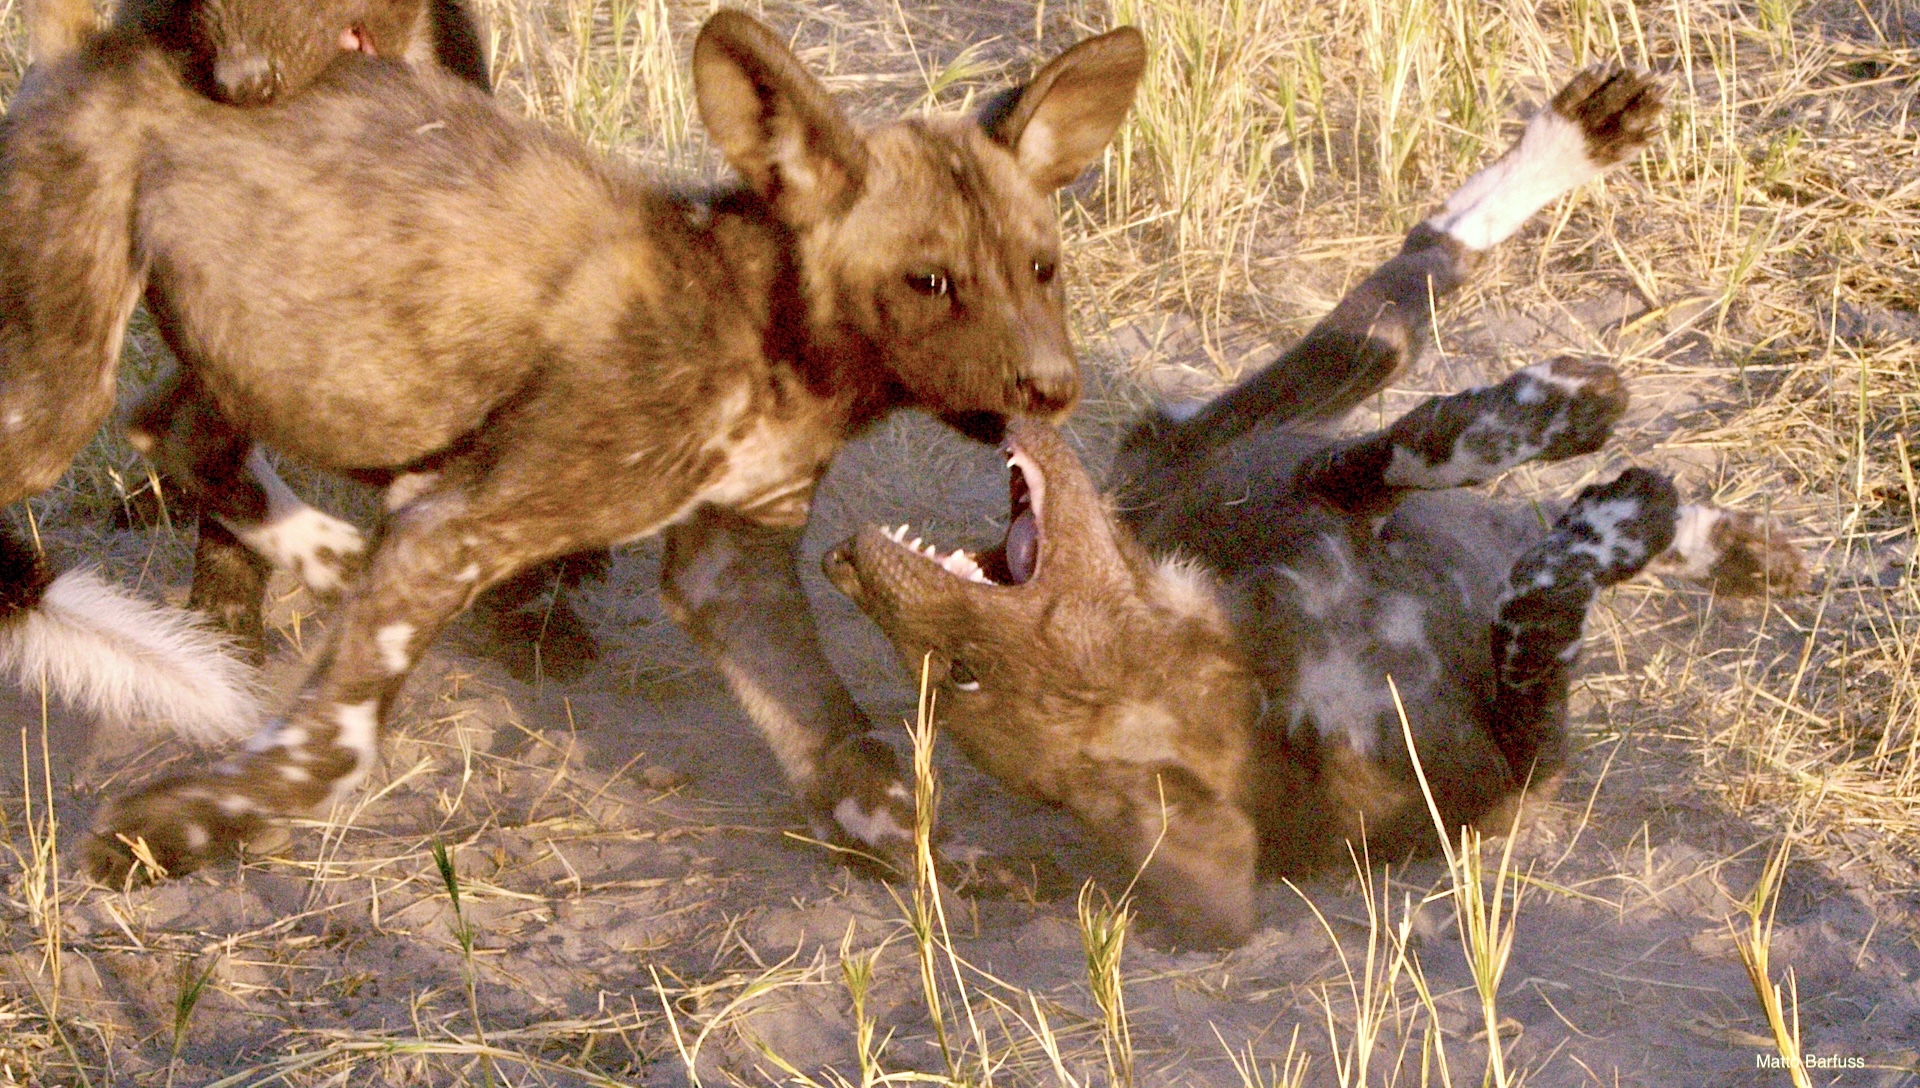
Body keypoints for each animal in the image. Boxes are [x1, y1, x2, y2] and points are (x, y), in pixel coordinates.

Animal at [0, 11, 1146, 880]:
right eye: (930, 281)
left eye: (1041, 269)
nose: (1052, 387)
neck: (768, 332)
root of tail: (110, 43)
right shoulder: (458, 530)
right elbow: (333, 747)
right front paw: (179, 830)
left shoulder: (734, 564)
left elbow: (844, 743)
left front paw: (939, 863)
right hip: (54, 399)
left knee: (173, 426)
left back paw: (323, 549)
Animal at [826, 67, 1809, 947]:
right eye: (961, 674)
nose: (844, 564)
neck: (1256, 671)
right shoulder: (1521, 767)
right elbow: (1535, 602)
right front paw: (1617, 516)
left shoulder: (1323, 485)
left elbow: (1433, 437)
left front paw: (1561, 415)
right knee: (1440, 362)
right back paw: (1703, 536)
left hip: (1257, 418)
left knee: (1413, 286)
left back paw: (1576, 148)